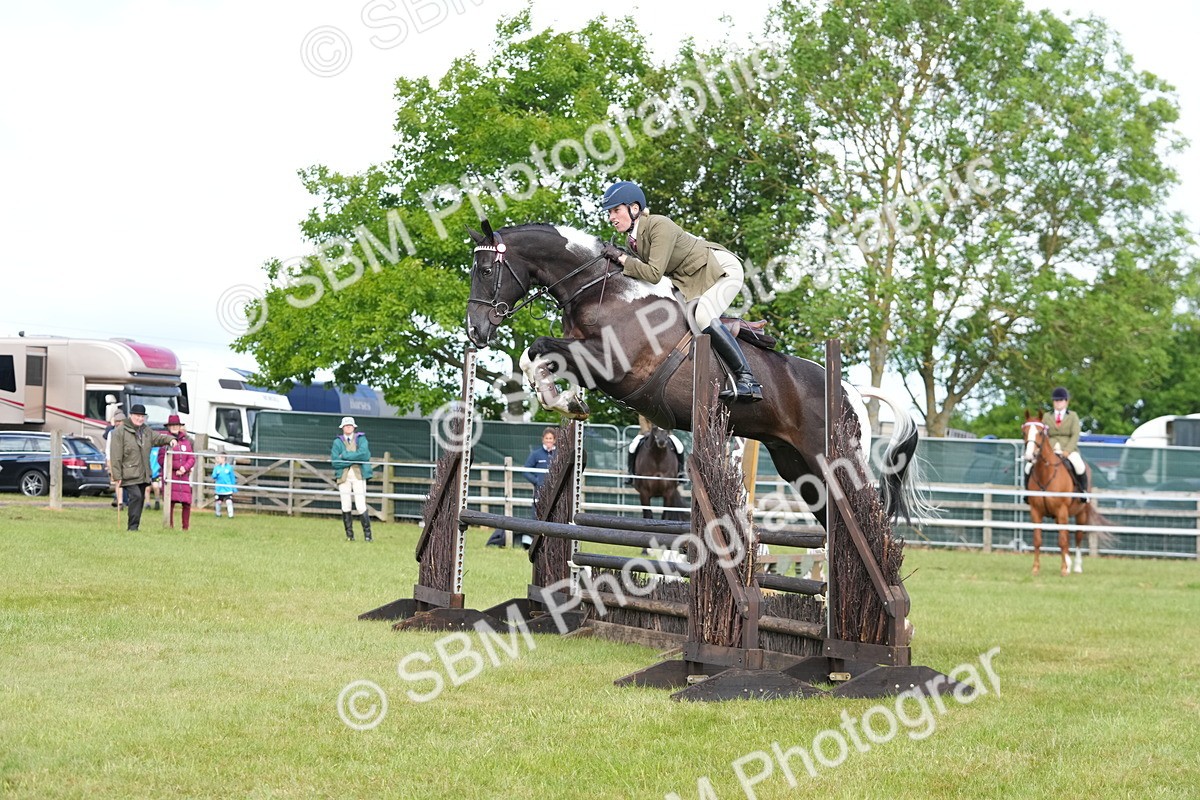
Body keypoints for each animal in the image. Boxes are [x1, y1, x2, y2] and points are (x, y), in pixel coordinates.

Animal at [466, 221, 927, 528]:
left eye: (486, 271)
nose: (475, 330)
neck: (603, 289)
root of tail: (850, 389)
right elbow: (537, 357)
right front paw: (566, 400)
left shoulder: (612, 364)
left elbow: (537, 349)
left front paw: (563, 400)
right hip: (798, 466)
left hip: (834, 461)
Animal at [1022, 411, 1110, 576]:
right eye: (1024, 432)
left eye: (1040, 432)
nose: (1030, 456)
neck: (1046, 473)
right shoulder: (1036, 512)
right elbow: (1038, 539)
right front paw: (1036, 568)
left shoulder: (1062, 510)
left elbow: (1063, 540)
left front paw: (1063, 570)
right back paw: (1068, 563)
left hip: (1080, 514)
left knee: (1077, 536)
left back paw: (1076, 567)